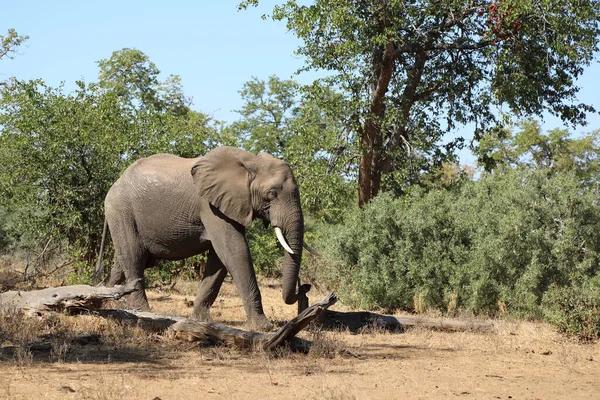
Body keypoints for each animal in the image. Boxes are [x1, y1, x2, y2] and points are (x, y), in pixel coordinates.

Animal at [99, 147, 312, 328]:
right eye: (272, 194)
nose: (304, 287)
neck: (250, 162)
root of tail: (115, 183)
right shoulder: (210, 206)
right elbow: (234, 250)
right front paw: (264, 327)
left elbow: (220, 259)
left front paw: (199, 320)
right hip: (121, 210)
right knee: (134, 258)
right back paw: (143, 312)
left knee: (122, 262)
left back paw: (106, 304)